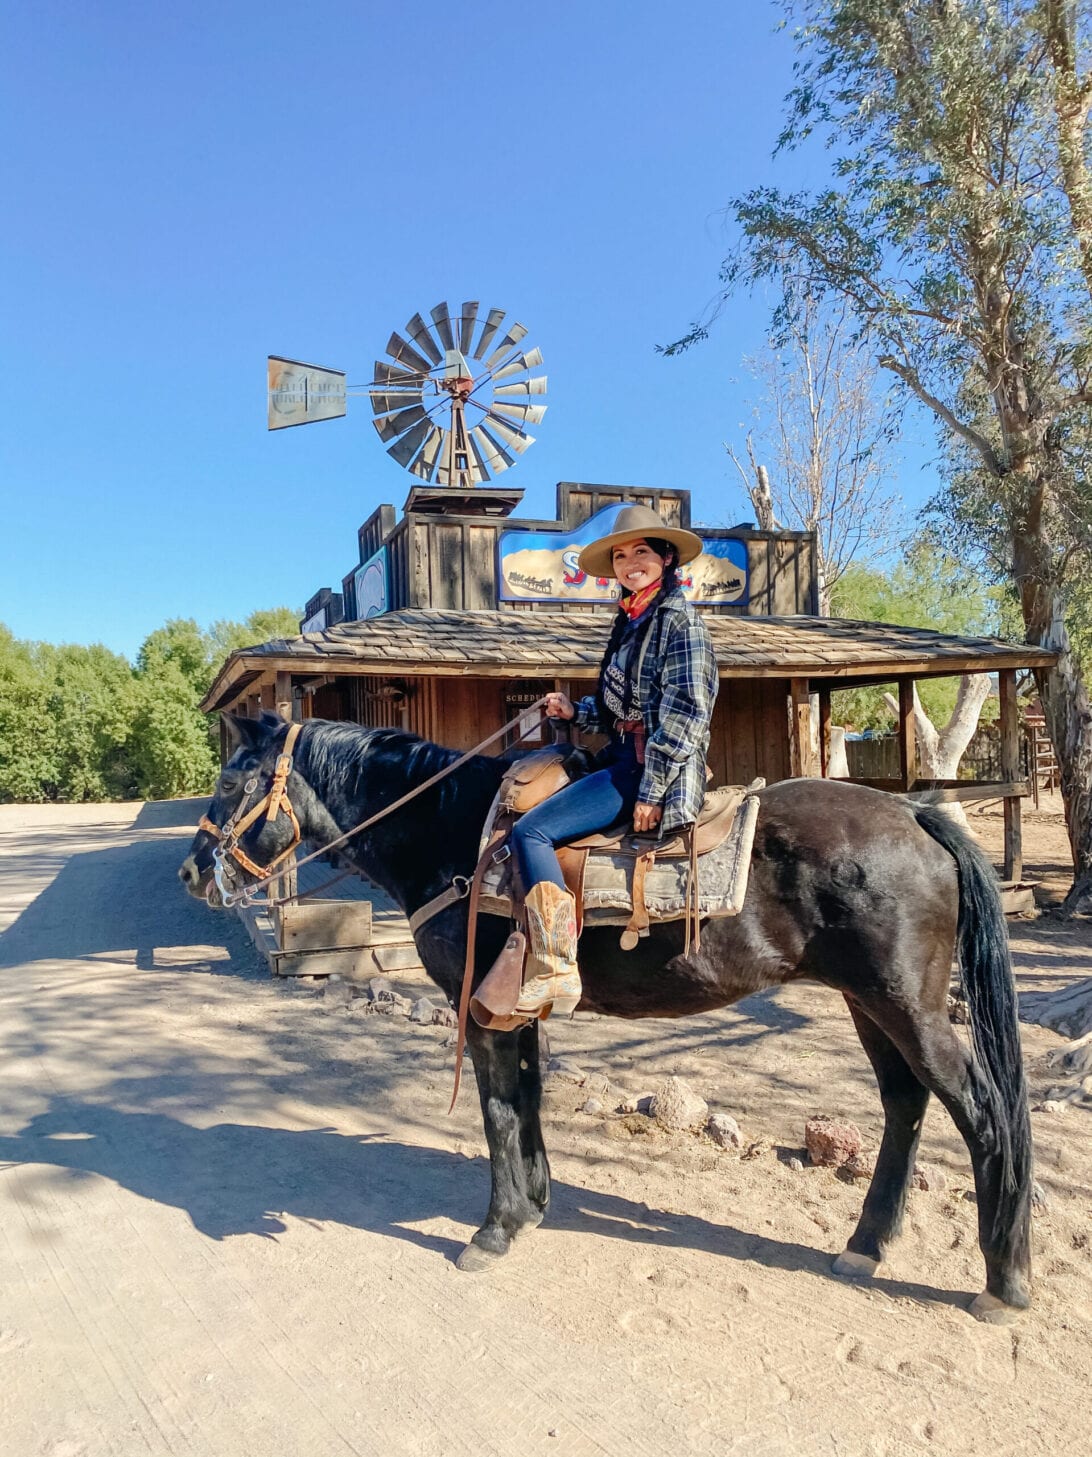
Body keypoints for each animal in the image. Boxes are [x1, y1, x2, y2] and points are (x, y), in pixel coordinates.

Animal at [178, 711, 1032, 1328]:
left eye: (229, 777)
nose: (191, 871)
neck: (454, 836)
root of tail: (918, 815)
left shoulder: (480, 1010)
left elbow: (496, 1110)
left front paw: (493, 1229)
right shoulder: (515, 1008)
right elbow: (525, 1100)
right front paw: (533, 1205)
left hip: (905, 1002)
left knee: (983, 1114)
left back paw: (1004, 1279)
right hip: (867, 1000)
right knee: (905, 1103)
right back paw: (865, 1245)